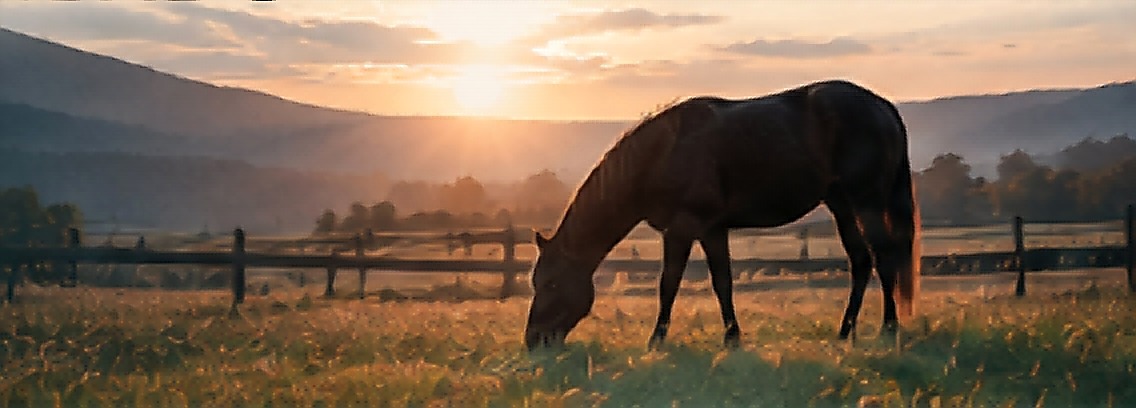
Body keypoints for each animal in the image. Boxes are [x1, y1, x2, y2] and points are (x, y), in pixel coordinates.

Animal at [524, 80, 921, 350]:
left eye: (552, 284)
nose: (533, 341)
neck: (662, 153)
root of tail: (883, 106)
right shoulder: (712, 230)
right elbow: (722, 283)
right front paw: (732, 338)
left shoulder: (681, 229)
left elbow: (668, 284)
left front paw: (656, 340)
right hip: (841, 205)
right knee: (861, 261)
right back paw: (844, 331)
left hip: (867, 201)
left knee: (884, 258)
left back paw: (888, 328)